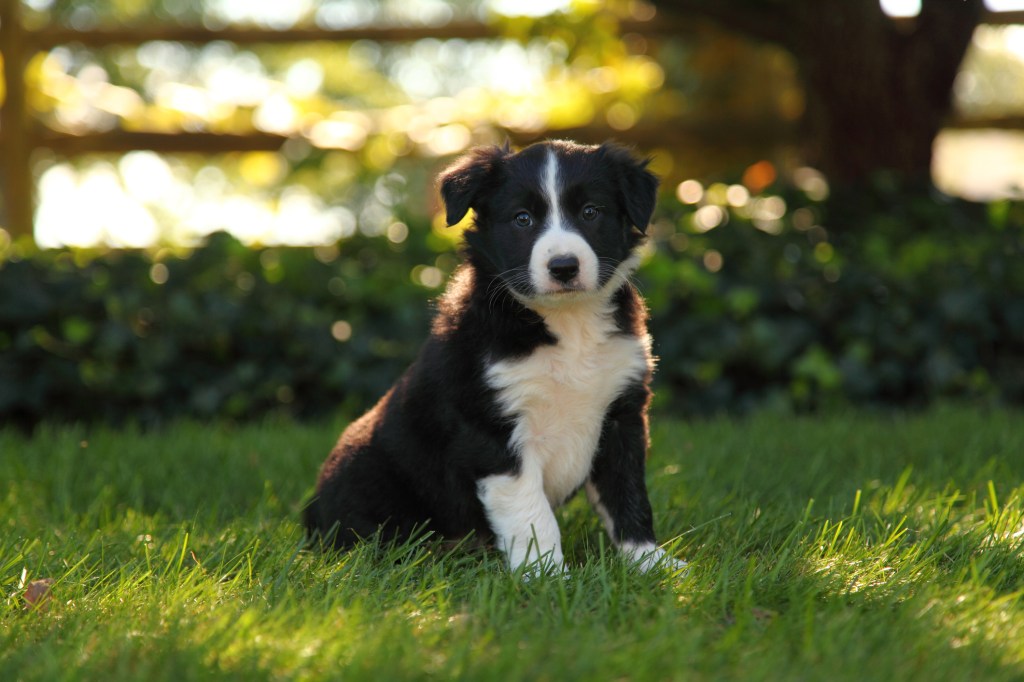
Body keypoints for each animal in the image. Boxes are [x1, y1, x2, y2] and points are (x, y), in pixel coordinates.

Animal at [305, 139, 688, 573]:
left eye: (591, 212)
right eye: (522, 219)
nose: (563, 267)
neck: (567, 325)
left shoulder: (623, 413)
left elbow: (628, 495)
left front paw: (651, 563)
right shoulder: (491, 430)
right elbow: (532, 513)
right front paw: (548, 575)